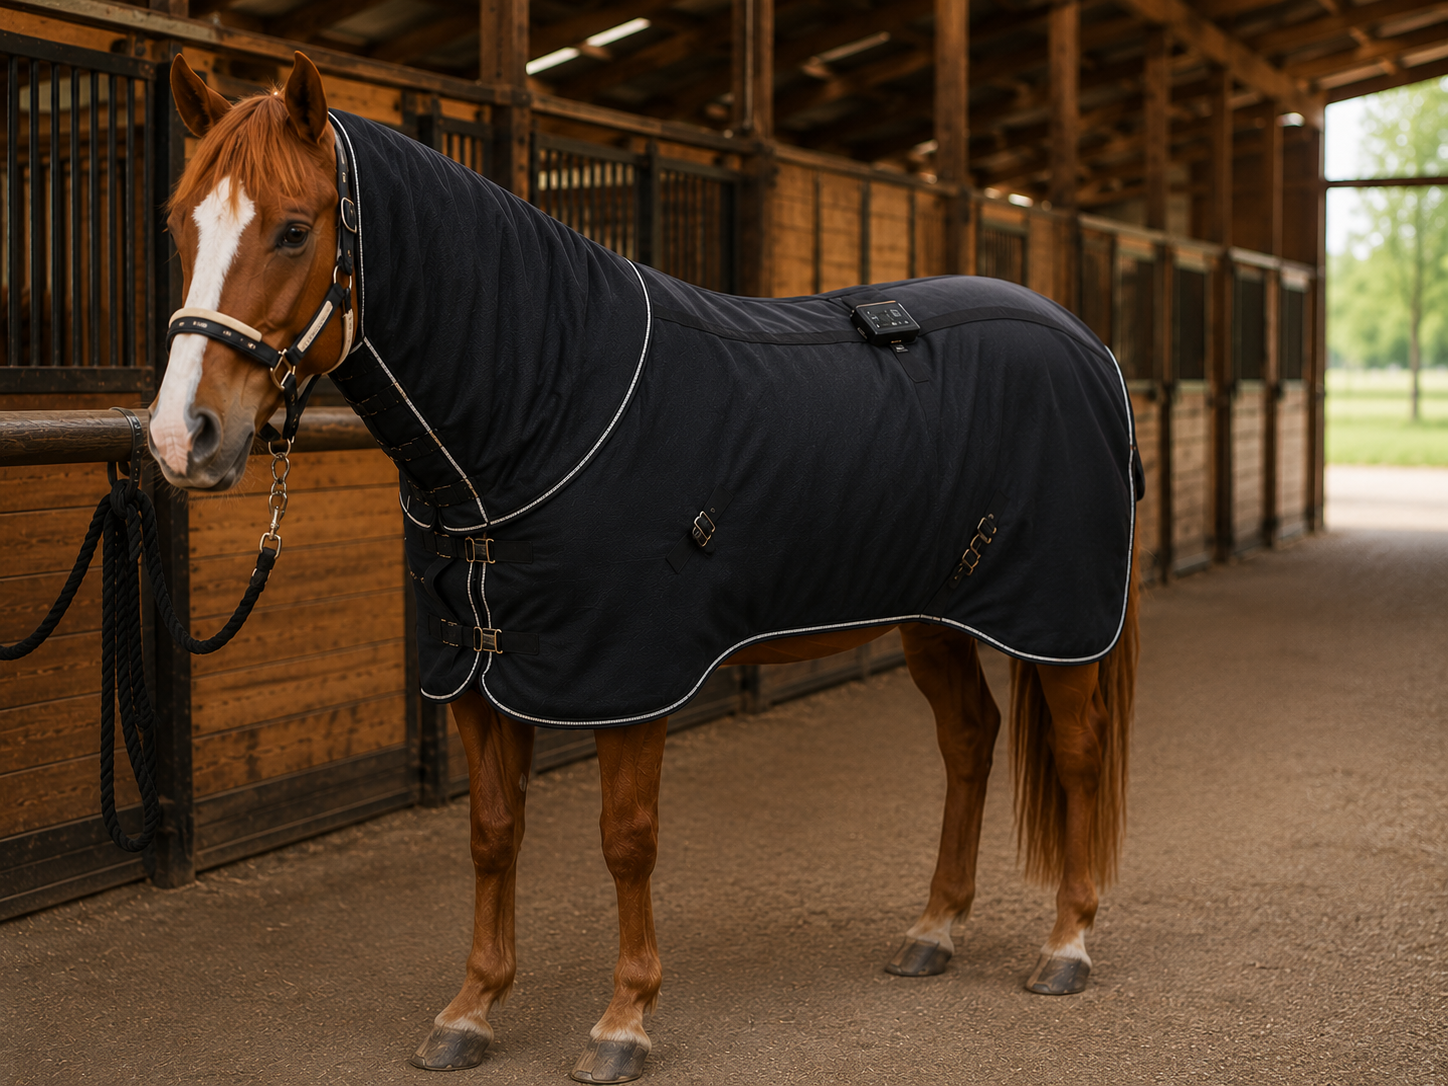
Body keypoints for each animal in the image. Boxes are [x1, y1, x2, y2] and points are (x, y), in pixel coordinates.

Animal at [153, 52, 1139, 1083]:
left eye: (294, 230)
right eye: (180, 224)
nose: (183, 438)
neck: (545, 402)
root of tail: (1088, 343)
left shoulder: (626, 678)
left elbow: (626, 842)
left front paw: (623, 1021)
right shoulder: (475, 671)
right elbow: (491, 834)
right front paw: (471, 1009)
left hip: (1061, 620)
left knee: (1077, 752)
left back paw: (1066, 946)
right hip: (934, 617)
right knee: (969, 741)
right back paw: (934, 931)